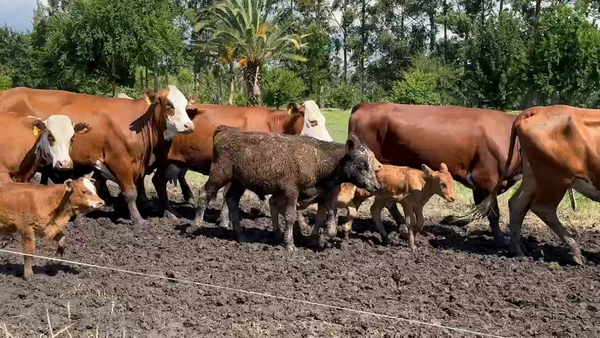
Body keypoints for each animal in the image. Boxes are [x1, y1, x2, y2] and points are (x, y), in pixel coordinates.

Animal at [0, 86, 193, 226]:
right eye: (169, 104)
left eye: (186, 106)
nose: (189, 126)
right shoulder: (119, 161)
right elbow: (130, 192)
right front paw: (138, 219)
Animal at [197, 125, 380, 250]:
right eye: (362, 164)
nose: (376, 185)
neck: (318, 159)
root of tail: (225, 132)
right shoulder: (291, 191)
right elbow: (290, 216)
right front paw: (290, 244)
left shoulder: (326, 195)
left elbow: (331, 222)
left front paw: (321, 238)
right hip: (219, 174)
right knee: (204, 193)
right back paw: (196, 226)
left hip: (238, 183)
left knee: (231, 201)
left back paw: (241, 235)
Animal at [350, 103, 524, 246]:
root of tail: (365, 105)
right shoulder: (486, 180)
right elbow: (492, 213)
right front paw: (500, 240)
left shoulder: (481, 186)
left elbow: (482, 209)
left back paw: (401, 225)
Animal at [474, 107, 600, 266]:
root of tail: (540, 109)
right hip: (557, 178)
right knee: (543, 208)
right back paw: (575, 253)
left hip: (532, 176)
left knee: (517, 204)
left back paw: (518, 251)